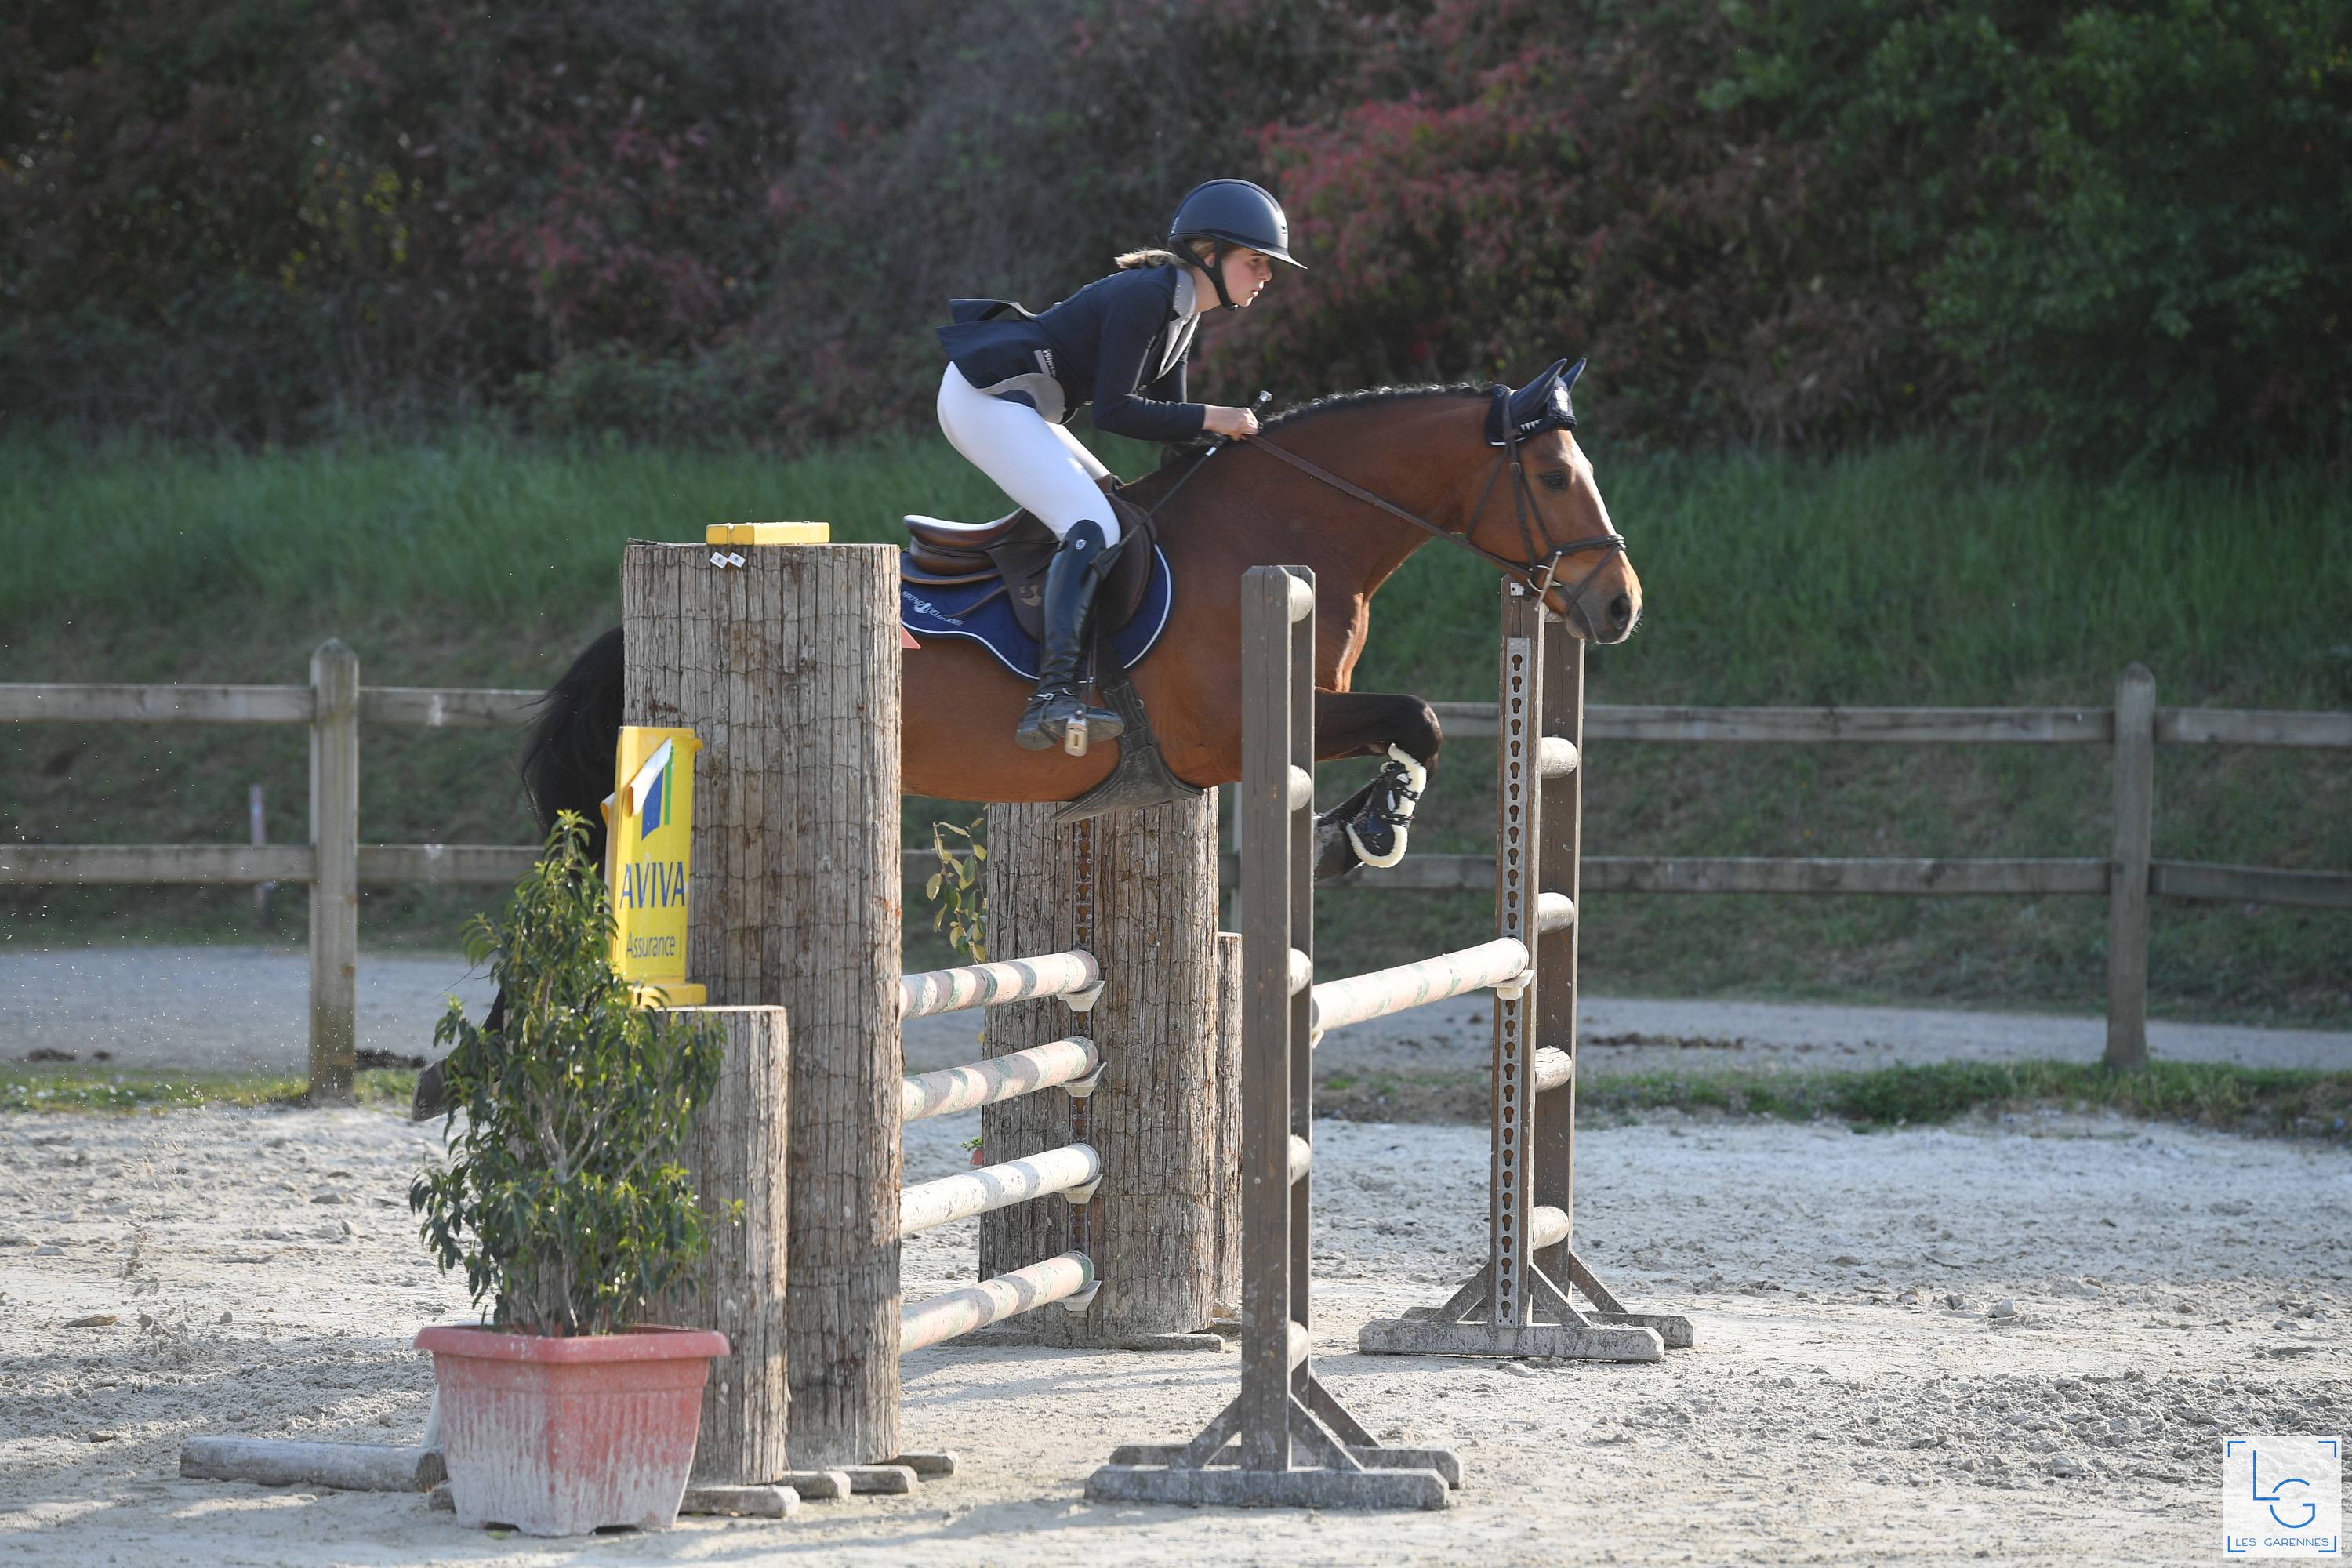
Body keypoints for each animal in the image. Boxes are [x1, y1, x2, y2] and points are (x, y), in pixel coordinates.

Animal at [414, 359, 1637, 1114]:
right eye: (1553, 473)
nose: (1618, 605)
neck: (1282, 528)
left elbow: (1411, 724)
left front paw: (1362, 826)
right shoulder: (1231, 737)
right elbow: (1416, 717)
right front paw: (1370, 828)